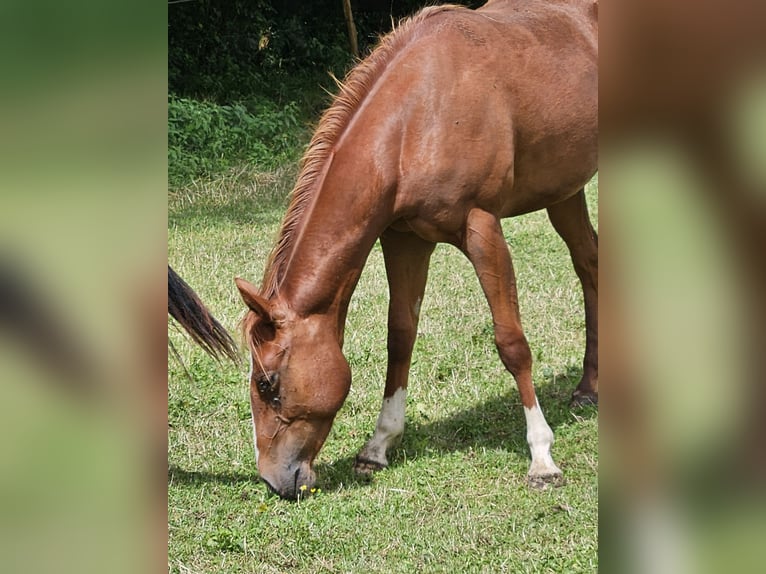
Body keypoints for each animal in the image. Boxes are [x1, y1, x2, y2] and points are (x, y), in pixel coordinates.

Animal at [235, 0, 598, 499]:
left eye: (267, 383)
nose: (274, 480)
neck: (419, 117)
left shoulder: (483, 229)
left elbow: (511, 342)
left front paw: (541, 456)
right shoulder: (404, 239)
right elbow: (400, 335)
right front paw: (378, 446)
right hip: (565, 192)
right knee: (590, 264)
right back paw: (589, 386)